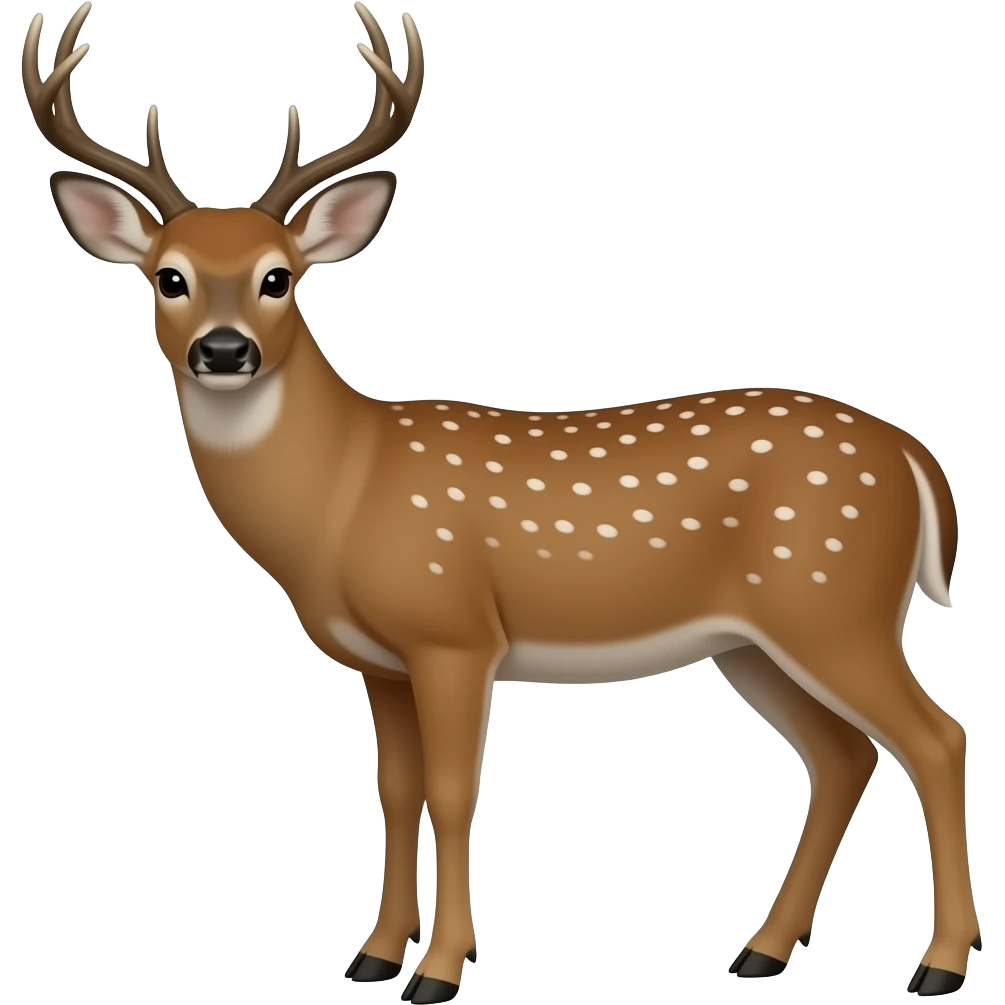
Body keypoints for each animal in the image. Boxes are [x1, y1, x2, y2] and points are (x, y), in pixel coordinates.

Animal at [23, 3, 976, 1001]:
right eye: (166, 275)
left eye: (278, 276)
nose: (222, 349)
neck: (342, 493)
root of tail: (914, 456)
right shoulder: (382, 661)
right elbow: (396, 793)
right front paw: (372, 954)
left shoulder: (453, 631)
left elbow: (451, 792)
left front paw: (439, 969)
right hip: (754, 641)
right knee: (842, 755)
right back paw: (761, 950)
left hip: (833, 603)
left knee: (934, 737)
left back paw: (937, 965)